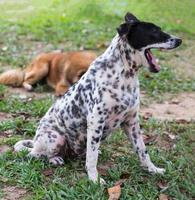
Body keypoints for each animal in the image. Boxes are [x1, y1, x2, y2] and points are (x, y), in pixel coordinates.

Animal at [14, 12, 182, 184]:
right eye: (154, 31)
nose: (179, 40)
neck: (124, 75)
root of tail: (35, 142)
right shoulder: (96, 121)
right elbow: (92, 157)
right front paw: (94, 180)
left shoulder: (132, 122)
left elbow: (142, 150)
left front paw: (153, 169)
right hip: (55, 138)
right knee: (36, 154)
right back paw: (54, 159)